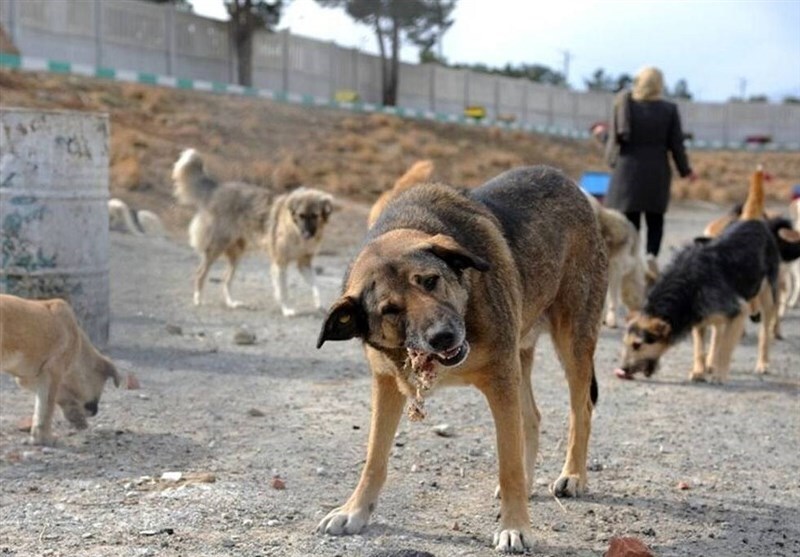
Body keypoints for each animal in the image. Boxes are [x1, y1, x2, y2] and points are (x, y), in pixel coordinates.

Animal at [170, 148, 332, 312]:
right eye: (301, 215)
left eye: (315, 216)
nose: (307, 234)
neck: (294, 229)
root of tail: (217, 188)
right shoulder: (280, 263)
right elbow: (283, 290)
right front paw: (287, 310)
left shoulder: (304, 263)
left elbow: (316, 286)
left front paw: (320, 305)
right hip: (216, 247)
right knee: (200, 273)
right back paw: (198, 300)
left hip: (237, 253)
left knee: (226, 279)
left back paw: (231, 303)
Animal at [318, 165, 608, 552]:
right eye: (390, 310)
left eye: (430, 281)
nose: (444, 336)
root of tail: (565, 179)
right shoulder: (387, 384)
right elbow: (374, 458)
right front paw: (355, 510)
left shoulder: (500, 379)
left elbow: (508, 463)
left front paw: (515, 526)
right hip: (520, 354)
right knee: (531, 416)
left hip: (572, 342)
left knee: (581, 410)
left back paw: (573, 475)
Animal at [620, 167, 780, 380]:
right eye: (625, 343)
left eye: (638, 345)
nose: (621, 370)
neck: (687, 283)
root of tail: (751, 220)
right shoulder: (698, 316)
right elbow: (700, 346)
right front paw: (699, 370)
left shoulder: (738, 311)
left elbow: (726, 347)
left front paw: (719, 374)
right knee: (718, 332)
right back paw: (710, 363)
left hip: (768, 296)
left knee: (764, 333)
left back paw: (762, 363)